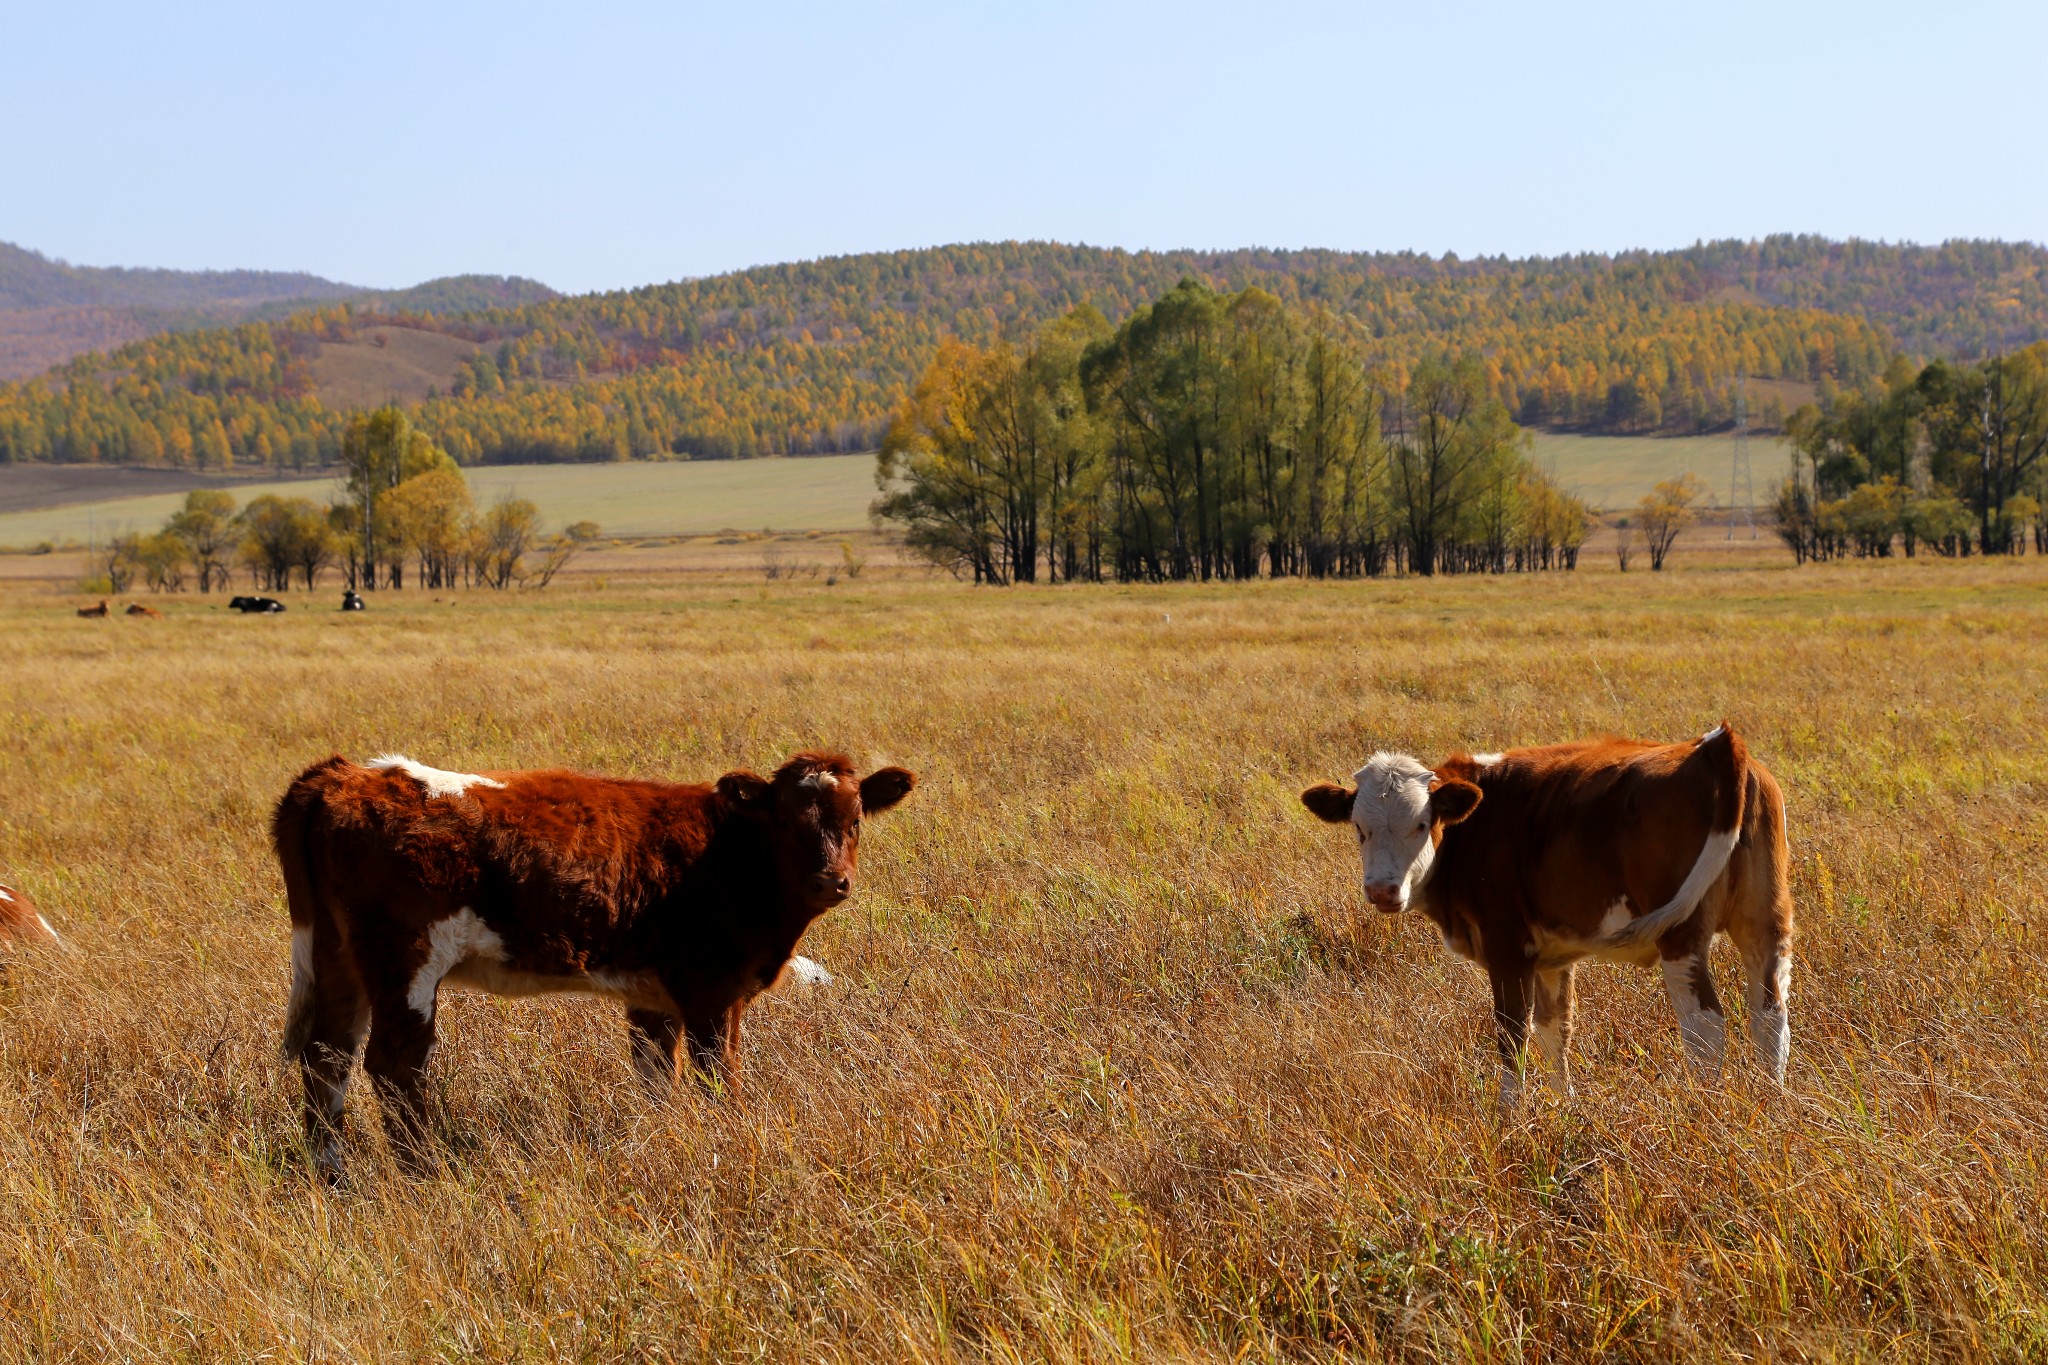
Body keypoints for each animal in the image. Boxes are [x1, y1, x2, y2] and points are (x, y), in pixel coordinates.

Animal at [276, 749, 917, 1178]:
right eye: (786, 821)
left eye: (855, 819)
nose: (829, 881)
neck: (731, 855)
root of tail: (346, 775)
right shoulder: (713, 990)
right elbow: (719, 1075)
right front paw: (728, 1140)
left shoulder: (655, 998)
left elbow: (658, 1075)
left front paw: (665, 1140)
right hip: (405, 959)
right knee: (394, 1063)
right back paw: (425, 1170)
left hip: (339, 957)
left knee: (327, 1055)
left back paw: (331, 1173)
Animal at [1302, 724, 1802, 1096]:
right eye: (1359, 828)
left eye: (1422, 824)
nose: (1382, 891)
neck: (1479, 823)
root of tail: (1715, 748)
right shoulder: (1551, 957)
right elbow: (1555, 1032)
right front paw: (1566, 1111)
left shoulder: (1508, 948)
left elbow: (1512, 1037)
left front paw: (1510, 1119)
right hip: (1766, 921)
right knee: (1769, 1017)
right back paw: (1772, 1106)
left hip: (1681, 934)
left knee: (1705, 1029)